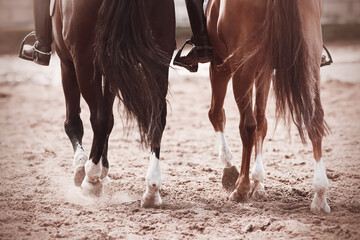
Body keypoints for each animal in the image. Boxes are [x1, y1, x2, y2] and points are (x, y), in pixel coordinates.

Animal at [51, 0, 176, 206]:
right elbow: (110, 119)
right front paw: (104, 168)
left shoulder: (66, 61)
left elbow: (75, 122)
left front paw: (82, 165)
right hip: (161, 55)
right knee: (157, 118)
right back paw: (152, 189)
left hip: (83, 62)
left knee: (98, 118)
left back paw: (91, 179)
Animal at [205, 0, 332, 214]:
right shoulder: (263, 69)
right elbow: (262, 122)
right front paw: (258, 182)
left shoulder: (219, 63)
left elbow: (216, 114)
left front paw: (230, 169)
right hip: (310, 61)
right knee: (315, 119)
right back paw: (320, 196)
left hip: (241, 70)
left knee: (246, 125)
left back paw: (241, 187)